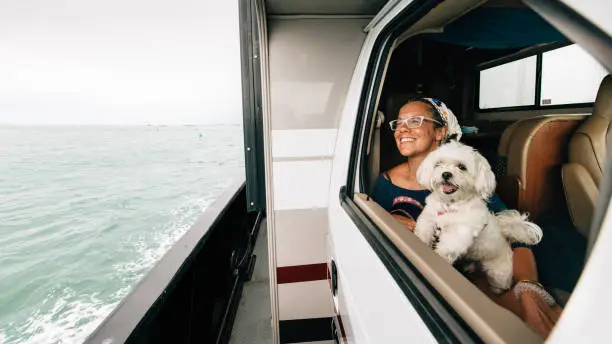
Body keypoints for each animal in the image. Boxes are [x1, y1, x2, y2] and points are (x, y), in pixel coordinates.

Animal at [416, 141, 540, 292]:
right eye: (438, 164)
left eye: (462, 167)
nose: (445, 174)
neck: (451, 205)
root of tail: (506, 239)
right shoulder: (428, 219)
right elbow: (423, 232)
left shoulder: (459, 233)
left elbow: (447, 248)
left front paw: (439, 257)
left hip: (498, 273)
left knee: (500, 284)